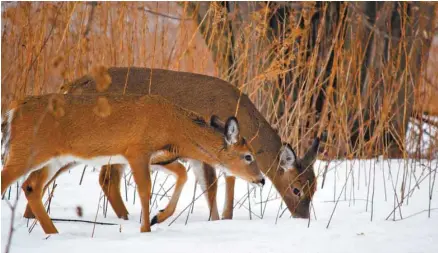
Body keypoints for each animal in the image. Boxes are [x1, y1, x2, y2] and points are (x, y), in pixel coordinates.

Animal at [0, 93, 264, 233]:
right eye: (248, 156)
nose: (261, 180)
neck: (176, 129)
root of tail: (14, 109)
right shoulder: (136, 151)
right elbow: (145, 190)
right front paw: (145, 230)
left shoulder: (158, 157)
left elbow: (182, 173)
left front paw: (159, 216)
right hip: (26, 151)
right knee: (10, 181)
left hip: (55, 158)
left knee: (31, 186)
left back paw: (54, 233)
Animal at [22, 66, 320, 221]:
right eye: (296, 189)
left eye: (314, 188)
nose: (303, 217)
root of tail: (69, 87)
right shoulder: (203, 148)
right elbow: (211, 186)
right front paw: (214, 220)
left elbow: (229, 181)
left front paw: (224, 218)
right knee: (100, 178)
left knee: (98, 179)